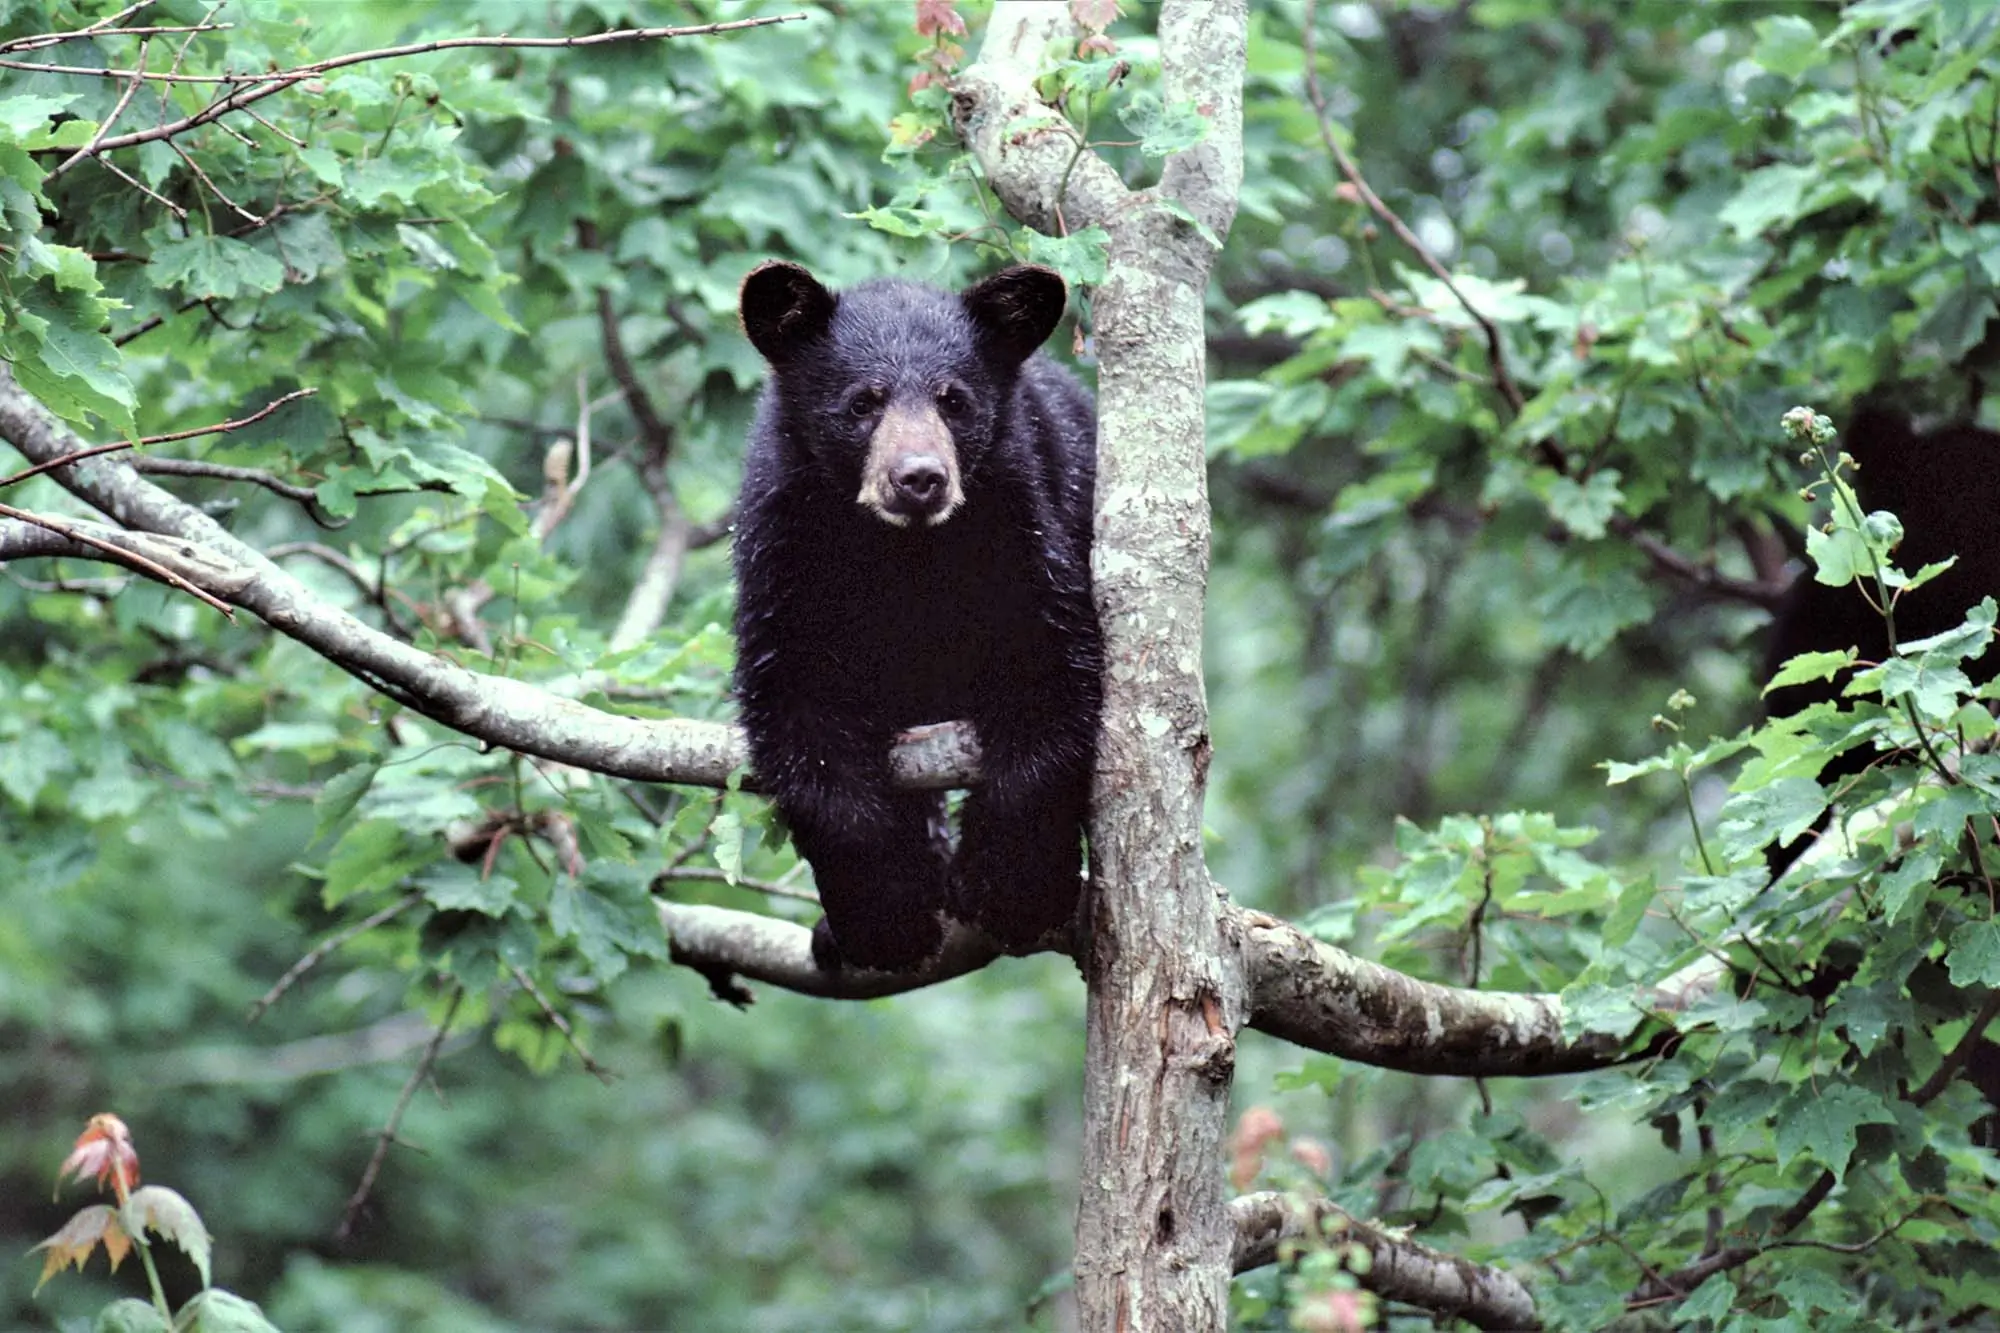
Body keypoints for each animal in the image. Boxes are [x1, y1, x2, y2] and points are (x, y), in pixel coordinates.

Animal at [731, 261, 1102, 972]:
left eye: (954, 401)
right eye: (862, 403)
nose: (920, 478)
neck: (904, 553)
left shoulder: (1021, 525)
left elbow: (1050, 673)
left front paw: (1012, 887)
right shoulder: (786, 548)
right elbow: (802, 716)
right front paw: (889, 912)